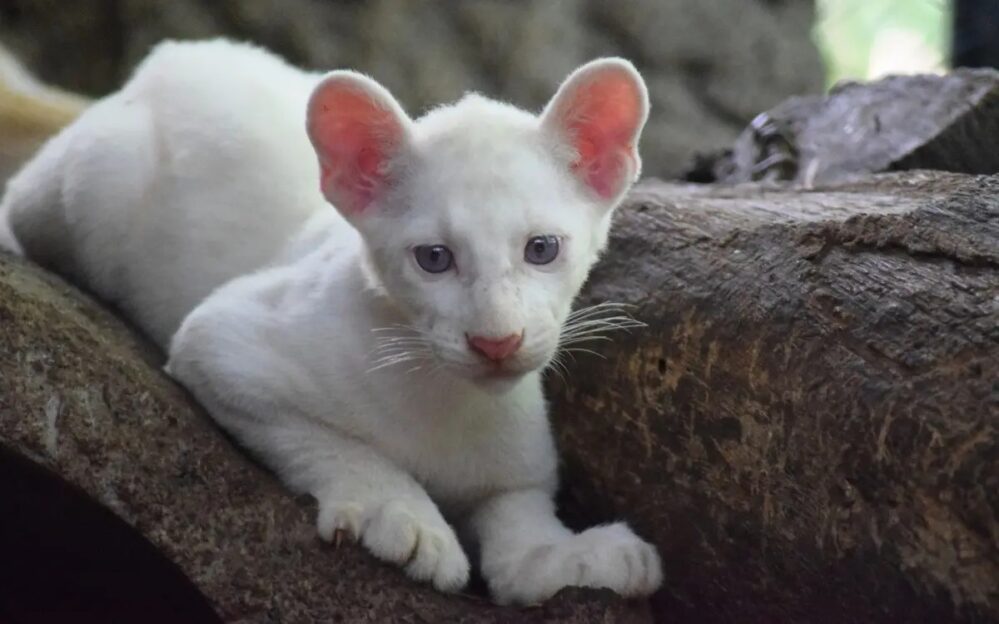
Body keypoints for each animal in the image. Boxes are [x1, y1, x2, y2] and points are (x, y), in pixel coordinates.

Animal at [3, 39, 668, 604]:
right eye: (434, 258)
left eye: (541, 249)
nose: (496, 341)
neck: (447, 400)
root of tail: (177, 51)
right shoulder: (220, 340)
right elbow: (337, 443)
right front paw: (403, 518)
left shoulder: (517, 482)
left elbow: (521, 550)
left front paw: (583, 557)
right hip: (81, 190)